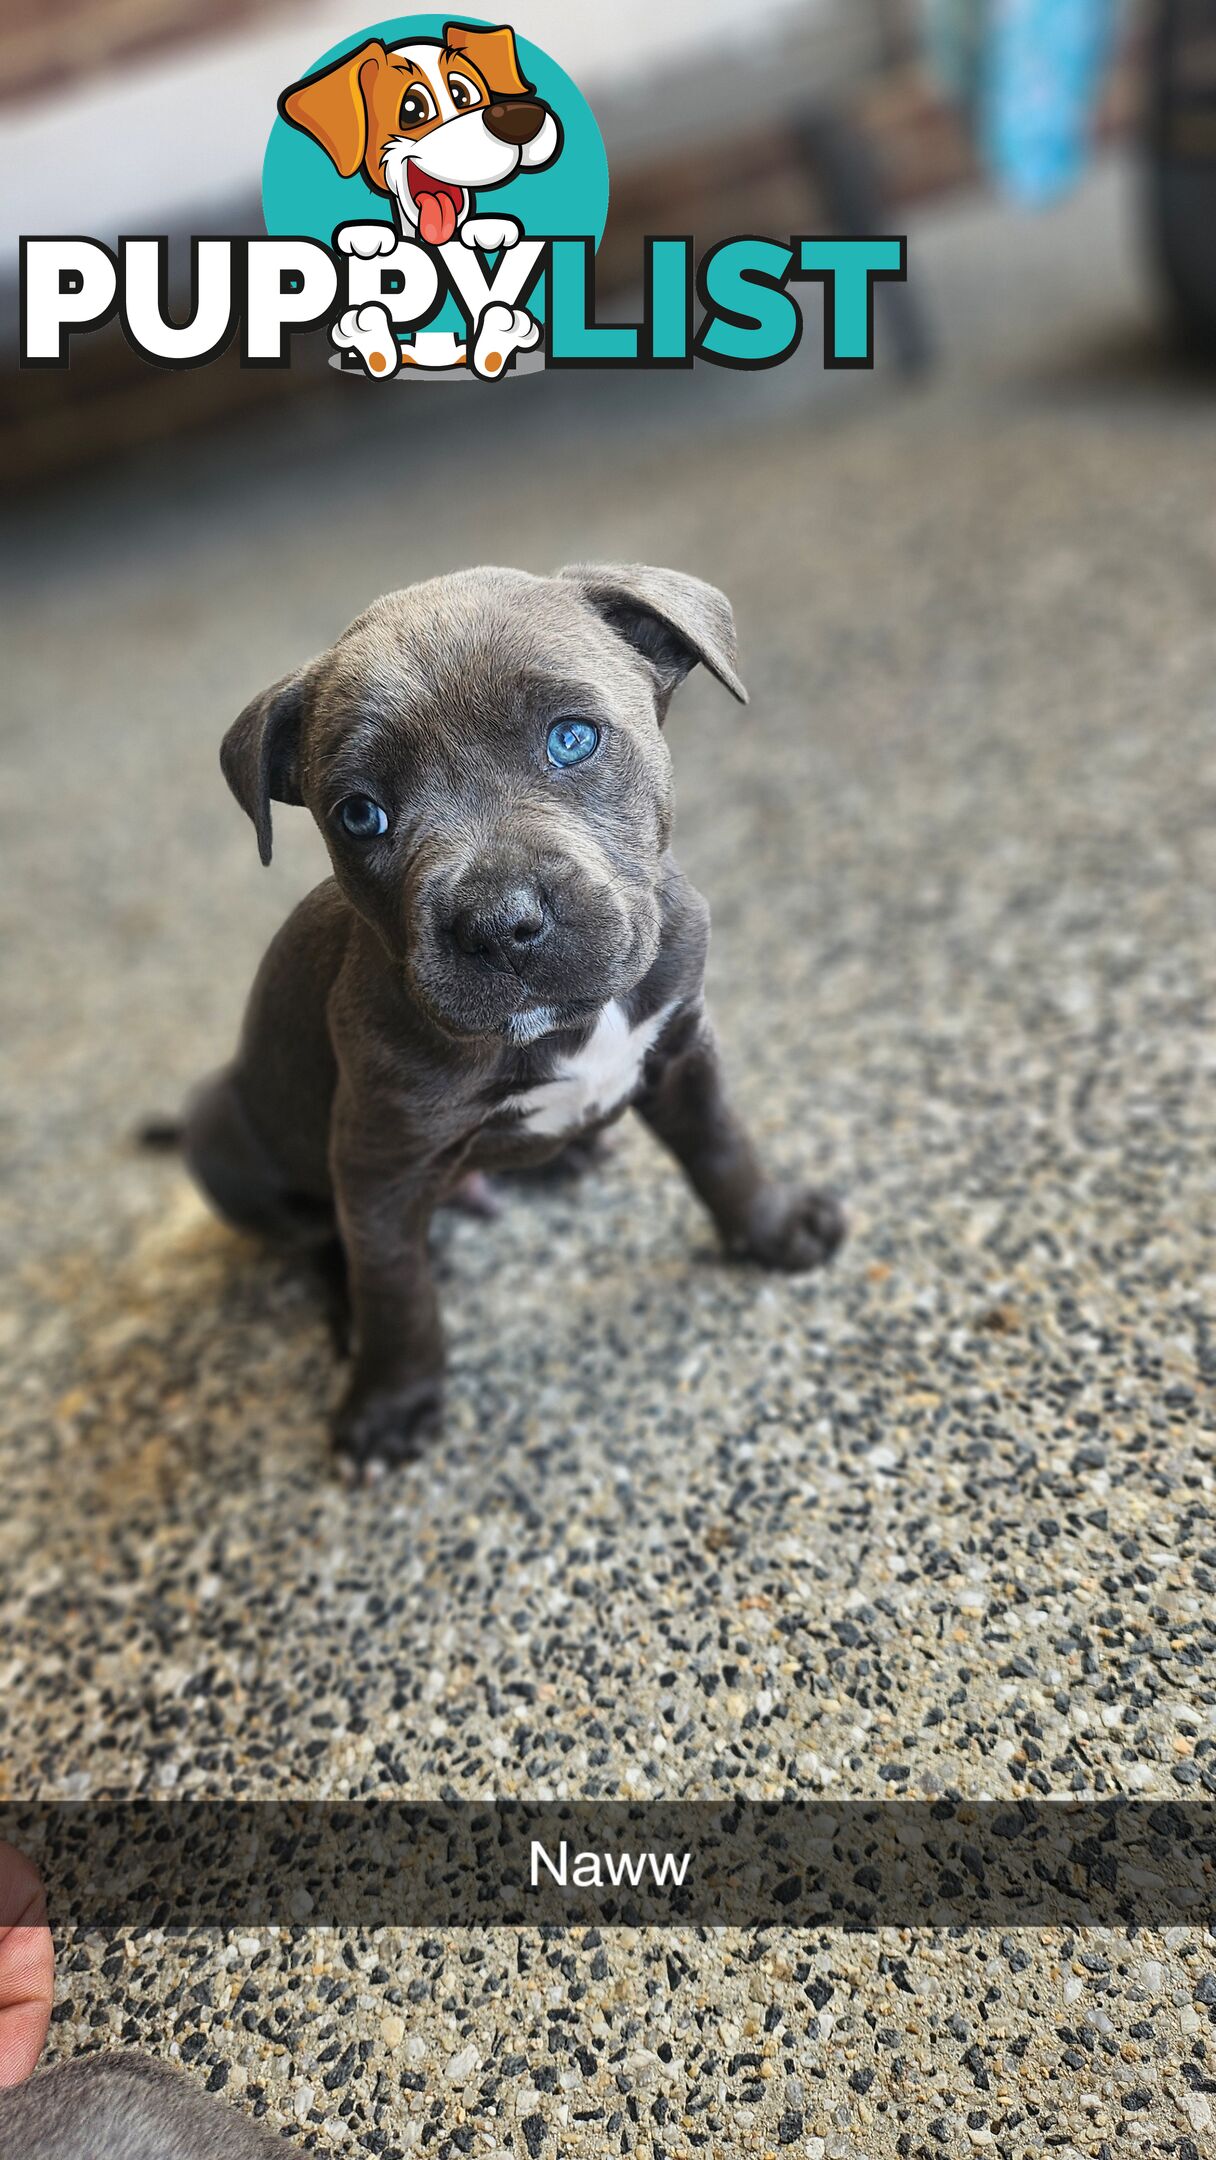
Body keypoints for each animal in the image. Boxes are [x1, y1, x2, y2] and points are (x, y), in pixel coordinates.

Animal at [183, 557, 846, 1477]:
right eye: (360, 814)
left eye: (572, 739)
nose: (499, 924)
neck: (571, 1026)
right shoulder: (380, 1162)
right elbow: (394, 1289)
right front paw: (391, 1399)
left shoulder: (683, 1050)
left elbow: (724, 1149)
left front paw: (772, 1228)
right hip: (217, 1128)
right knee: (323, 1240)